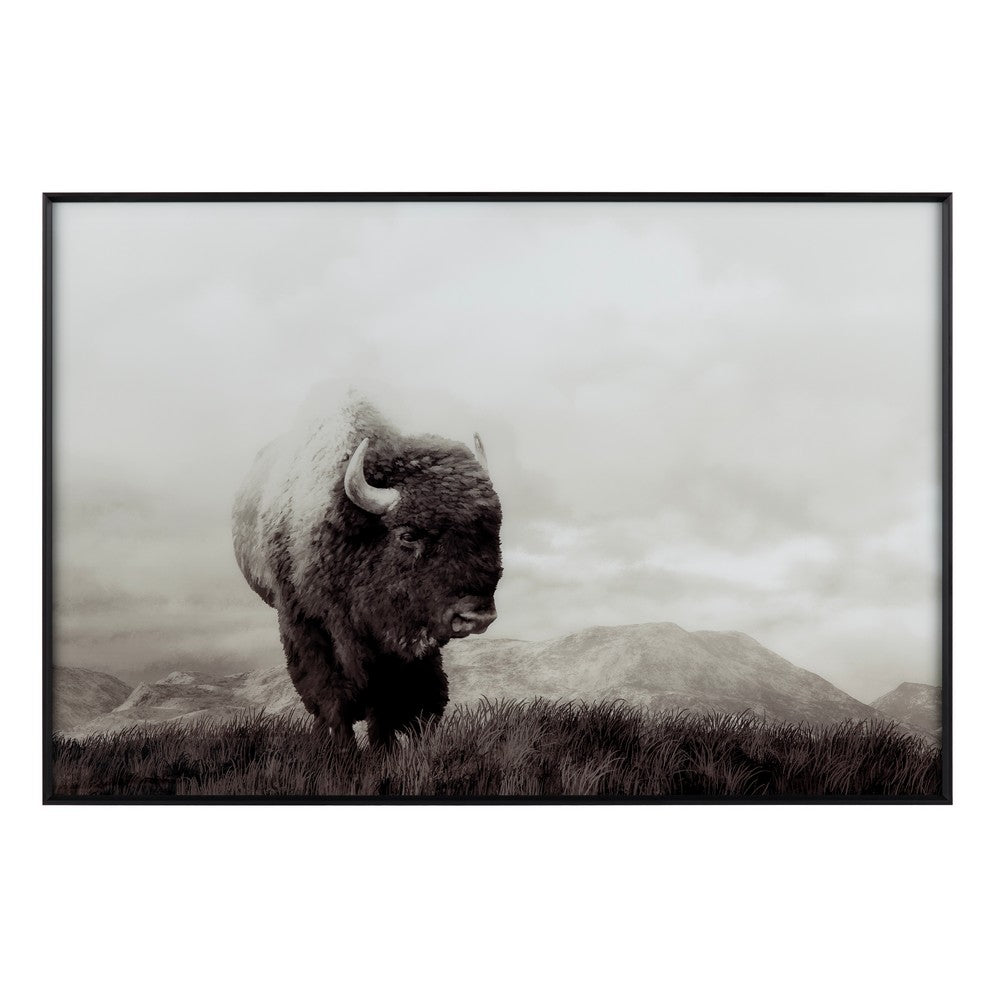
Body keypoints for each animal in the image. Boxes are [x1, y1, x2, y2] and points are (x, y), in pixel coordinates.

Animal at [232, 390, 502, 750]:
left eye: (492, 531)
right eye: (408, 535)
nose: (476, 615)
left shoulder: (395, 648)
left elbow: (389, 701)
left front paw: (385, 748)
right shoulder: (306, 624)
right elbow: (332, 696)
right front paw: (346, 750)